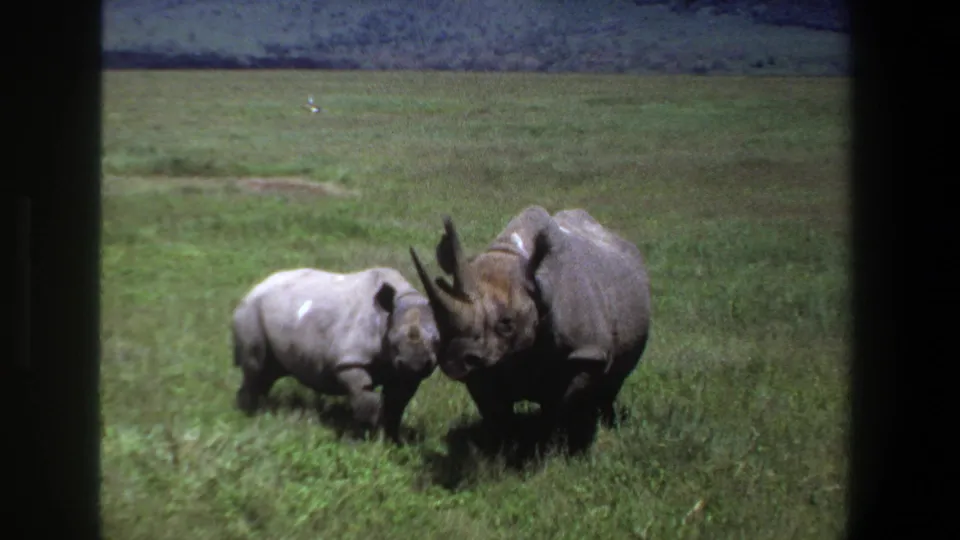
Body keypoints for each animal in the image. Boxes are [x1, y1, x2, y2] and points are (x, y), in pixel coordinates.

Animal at [231, 266, 440, 444]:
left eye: (437, 341)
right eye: (394, 341)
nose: (416, 364)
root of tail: (253, 289)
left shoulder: (402, 373)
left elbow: (396, 406)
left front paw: (392, 442)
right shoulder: (351, 361)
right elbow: (368, 403)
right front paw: (368, 442)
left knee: (268, 373)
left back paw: (262, 411)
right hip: (250, 311)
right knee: (256, 368)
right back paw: (248, 415)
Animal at [408, 205, 652, 453]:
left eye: (507, 323)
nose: (454, 361)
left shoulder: (587, 351)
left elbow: (562, 405)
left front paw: (553, 448)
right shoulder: (482, 362)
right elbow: (496, 412)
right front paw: (502, 450)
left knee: (615, 380)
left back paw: (606, 422)